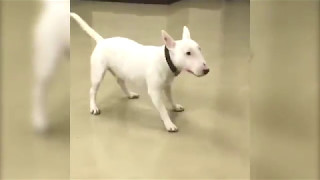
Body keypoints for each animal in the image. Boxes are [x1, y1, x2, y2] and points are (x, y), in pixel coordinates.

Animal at [70, 11, 210, 131]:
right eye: (188, 53)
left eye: (200, 49)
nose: (206, 70)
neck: (166, 60)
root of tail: (102, 41)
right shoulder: (154, 92)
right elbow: (163, 109)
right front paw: (169, 124)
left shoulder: (167, 86)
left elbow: (170, 98)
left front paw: (175, 107)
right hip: (98, 74)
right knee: (92, 91)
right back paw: (93, 107)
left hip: (120, 71)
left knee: (120, 82)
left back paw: (130, 94)